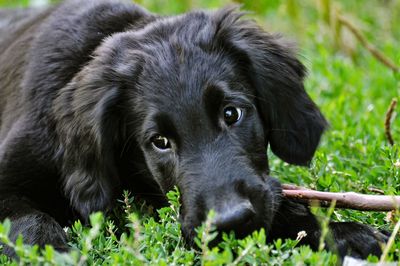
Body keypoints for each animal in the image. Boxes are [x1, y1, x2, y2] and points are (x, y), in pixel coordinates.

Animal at [0, 0, 388, 260]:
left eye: (232, 114)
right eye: (159, 142)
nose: (232, 221)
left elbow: (286, 208)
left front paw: (345, 234)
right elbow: (30, 222)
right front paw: (53, 252)